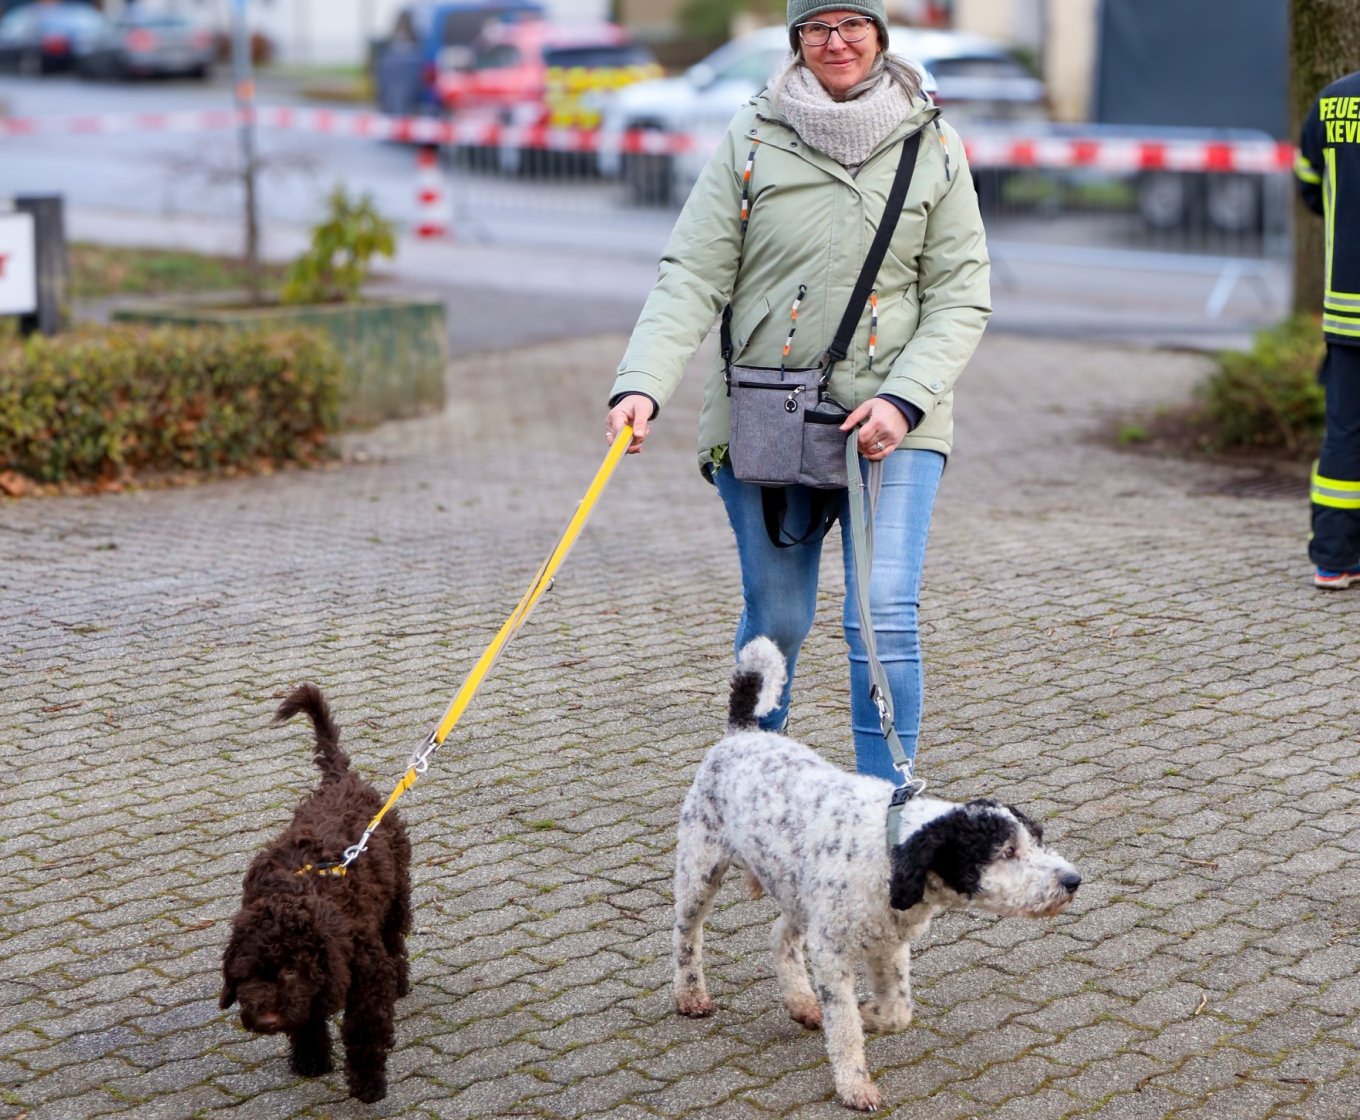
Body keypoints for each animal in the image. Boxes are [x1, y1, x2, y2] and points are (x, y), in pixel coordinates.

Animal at [219, 685, 411, 1103]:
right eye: (247, 973)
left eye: (291, 969)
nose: (266, 1020)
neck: (293, 895)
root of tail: (340, 779)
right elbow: (306, 1017)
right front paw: (310, 1059)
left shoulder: (368, 974)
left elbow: (364, 1030)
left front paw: (368, 1084)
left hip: (397, 895)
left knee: (396, 940)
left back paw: (402, 982)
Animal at [672, 637, 1081, 1112]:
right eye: (1007, 851)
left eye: (1037, 838)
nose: (1072, 881)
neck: (891, 852)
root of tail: (742, 734)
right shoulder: (833, 954)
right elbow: (845, 1029)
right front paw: (855, 1084)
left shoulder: (888, 944)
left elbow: (897, 1010)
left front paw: (869, 1014)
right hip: (700, 871)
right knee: (687, 937)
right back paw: (690, 995)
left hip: (798, 895)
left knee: (780, 938)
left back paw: (802, 1002)